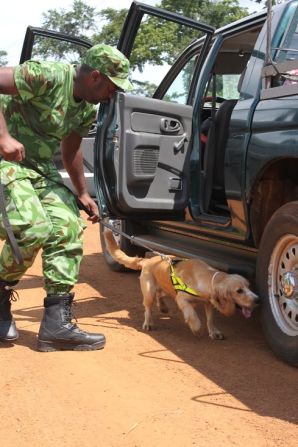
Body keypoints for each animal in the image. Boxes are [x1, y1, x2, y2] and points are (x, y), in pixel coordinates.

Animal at [104, 229, 258, 342]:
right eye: (239, 291)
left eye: (249, 286)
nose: (257, 300)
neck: (207, 278)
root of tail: (146, 261)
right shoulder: (182, 299)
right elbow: (192, 314)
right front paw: (196, 327)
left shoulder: (208, 303)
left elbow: (210, 319)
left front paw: (214, 332)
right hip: (149, 292)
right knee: (147, 308)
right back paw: (148, 323)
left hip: (164, 287)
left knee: (160, 295)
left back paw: (163, 307)